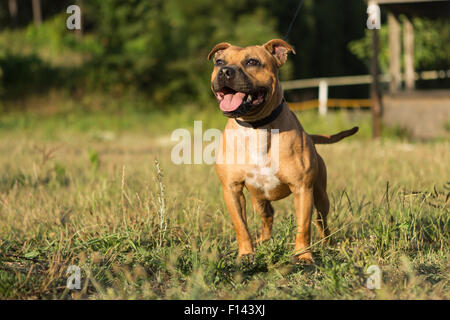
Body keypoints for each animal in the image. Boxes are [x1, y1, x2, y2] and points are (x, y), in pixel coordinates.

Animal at [208, 38, 358, 262]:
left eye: (252, 62)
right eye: (219, 62)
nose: (225, 71)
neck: (256, 126)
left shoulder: (302, 188)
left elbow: (303, 226)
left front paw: (303, 256)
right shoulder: (232, 189)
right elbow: (241, 226)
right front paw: (246, 254)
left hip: (320, 195)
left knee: (321, 220)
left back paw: (328, 244)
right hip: (259, 198)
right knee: (267, 216)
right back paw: (262, 242)